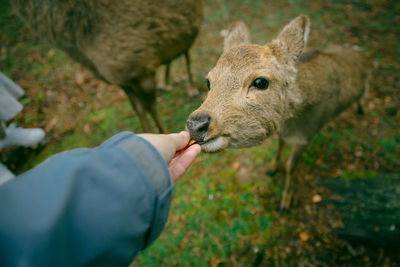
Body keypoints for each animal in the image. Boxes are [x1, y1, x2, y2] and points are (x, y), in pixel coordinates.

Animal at [10, 0, 205, 133]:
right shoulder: (122, 80)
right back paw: (166, 83)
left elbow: (150, 107)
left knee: (187, 54)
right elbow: (139, 110)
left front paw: (163, 134)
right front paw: (147, 134)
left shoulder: (140, 66)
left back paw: (192, 88)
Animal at [187, 15, 368, 211]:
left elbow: (290, 167)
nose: (196, 125)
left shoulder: (307, 135)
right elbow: (280, 145)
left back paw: (361, 110)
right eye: (208, 81)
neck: (294, 123)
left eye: (260, 82)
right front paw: (272, 168)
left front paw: (285, 202)